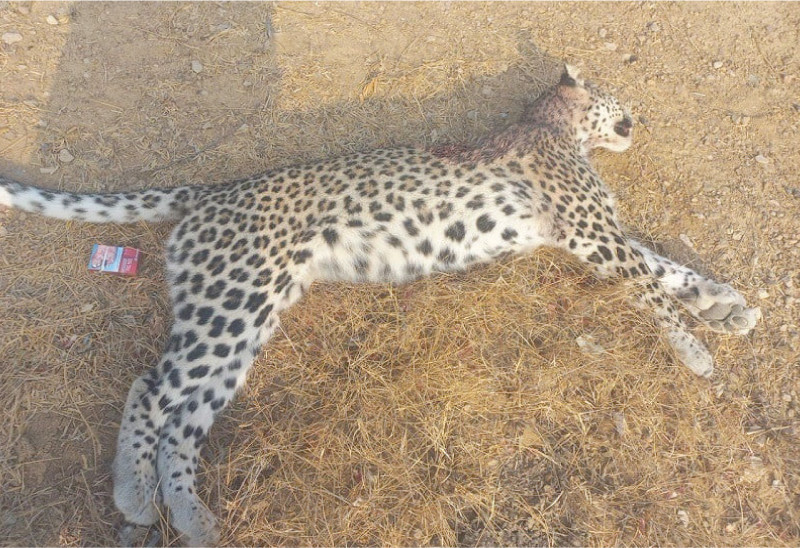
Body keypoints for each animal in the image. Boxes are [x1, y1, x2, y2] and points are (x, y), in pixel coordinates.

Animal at [0, 66, 760, 544]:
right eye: (612, 92)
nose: (638, 117)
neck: (554, 126)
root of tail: (212, 190)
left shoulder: (593, 233)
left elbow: (667, 268)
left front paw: (727, 305)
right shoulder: (590, 232)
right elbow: (652, 285)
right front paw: (695, 348)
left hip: (246, 319)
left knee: (184, 419)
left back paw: (189, 517)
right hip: (233, 302)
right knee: (151, 387)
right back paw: (135, 494)